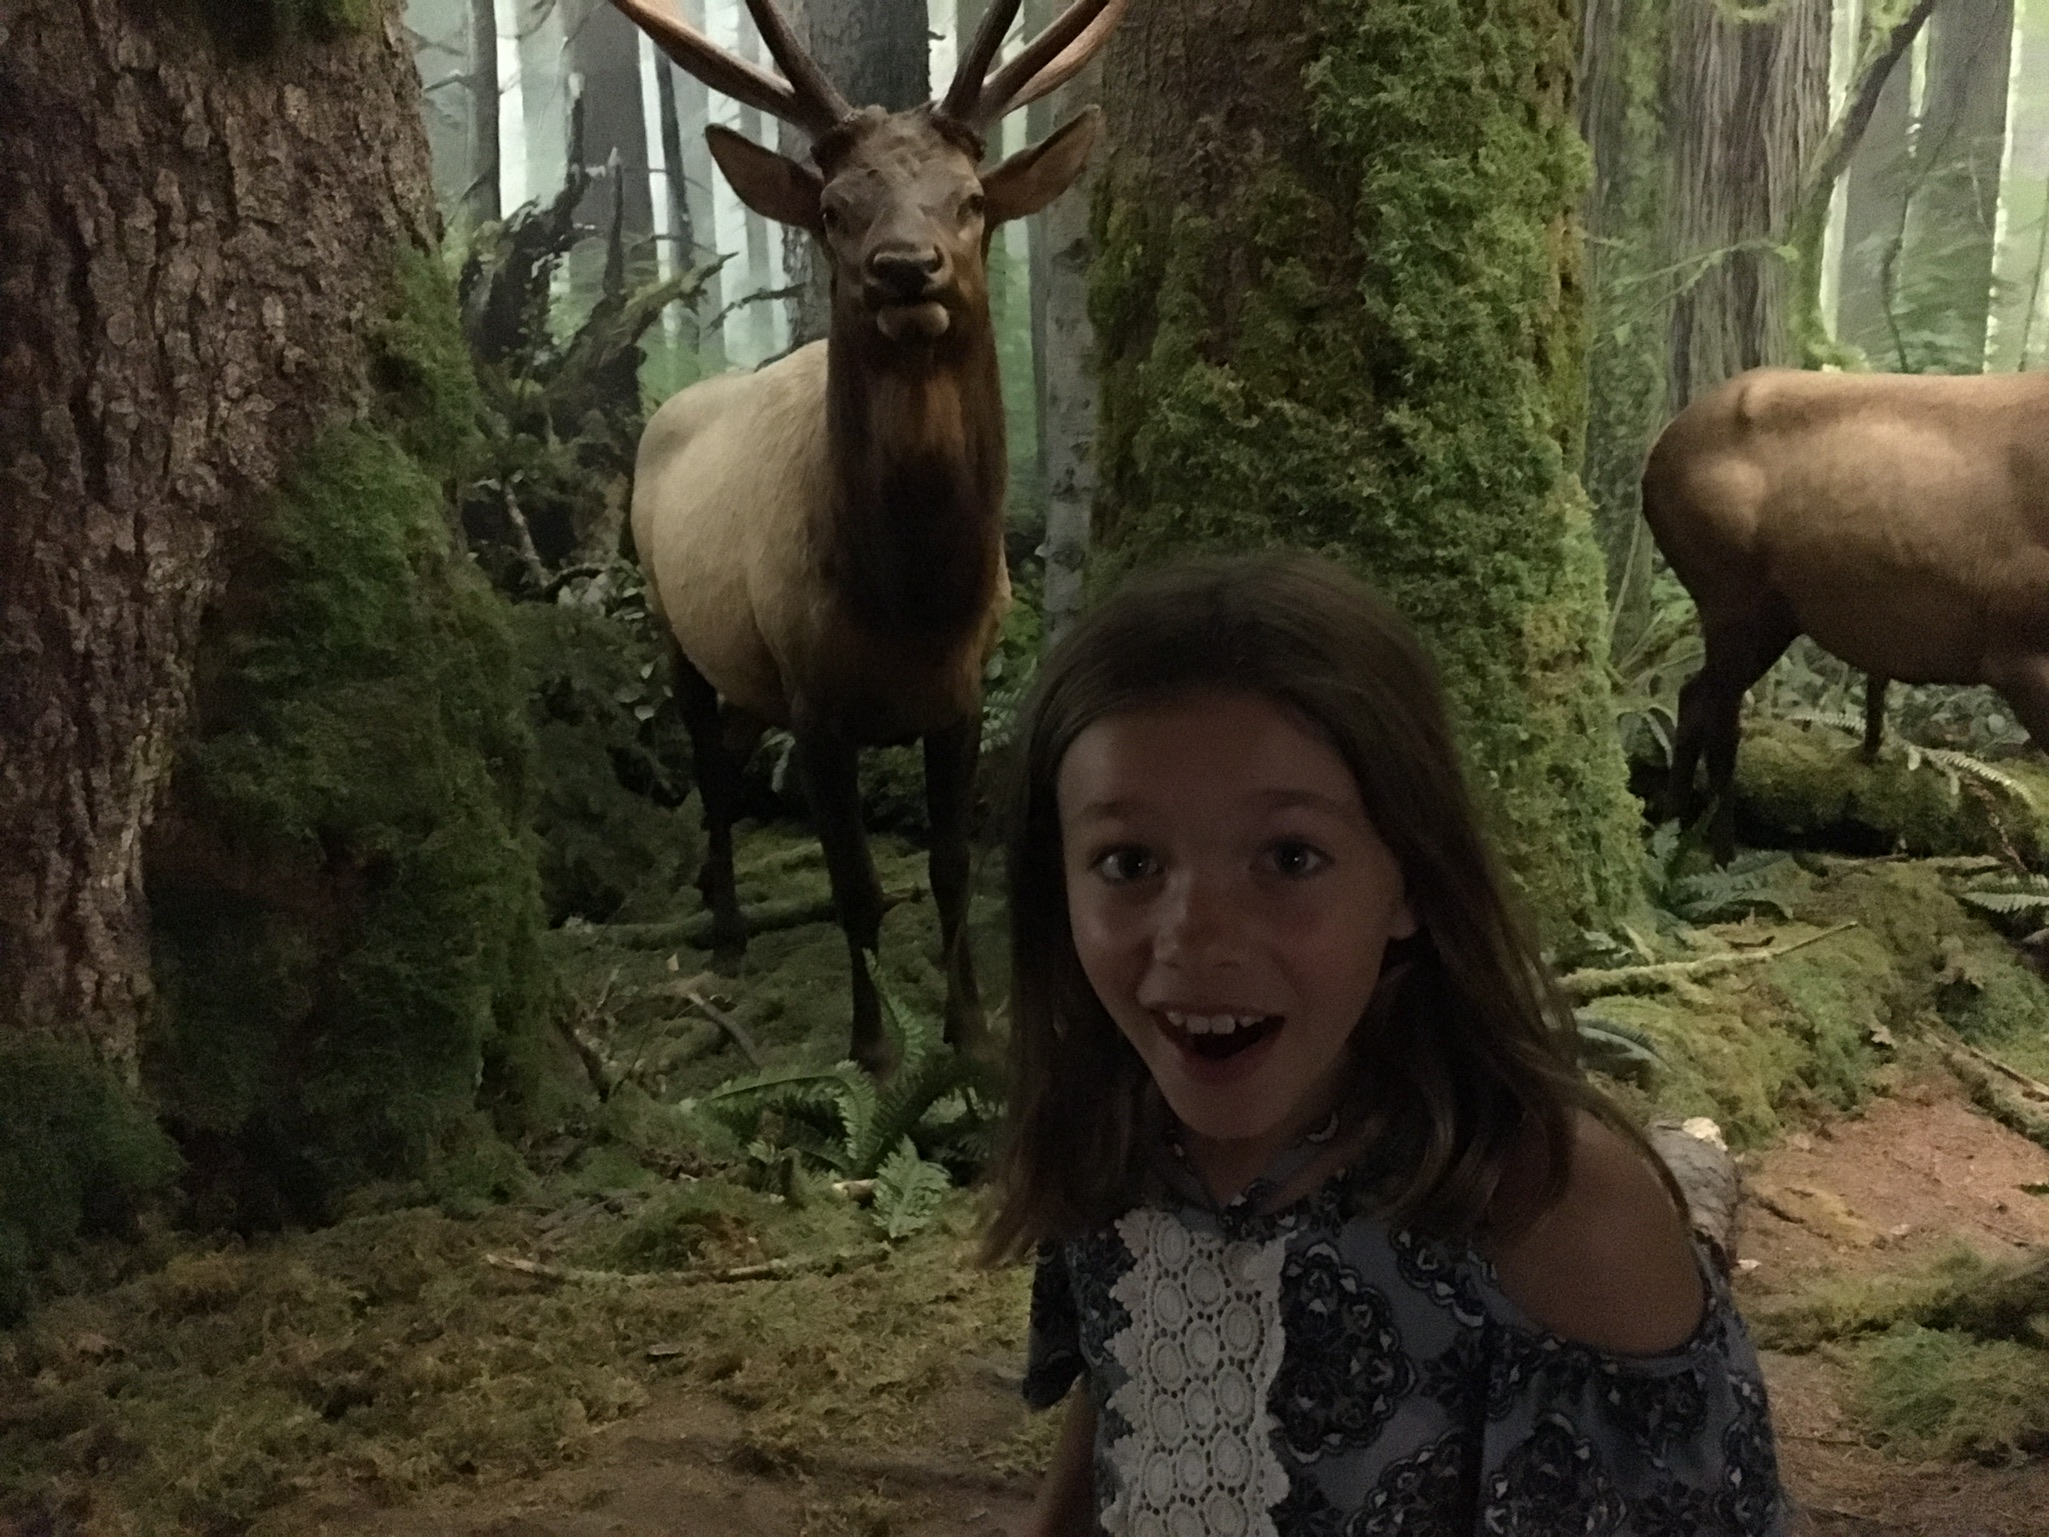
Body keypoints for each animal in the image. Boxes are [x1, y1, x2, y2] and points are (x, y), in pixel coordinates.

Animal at [609, 0, 1131, 1073]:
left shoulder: (961, 692)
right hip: (674, 623)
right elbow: (854, 881)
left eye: (970, 200)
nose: (904, 269)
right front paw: (874, 1044)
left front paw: (970, 1033)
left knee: (731, 751)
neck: (910, 602)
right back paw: (726, 930)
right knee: (708, 769)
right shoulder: (816, 703)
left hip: (747, 663)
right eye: (834, 209)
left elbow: (948, 863)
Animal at [1643, 365, 2049, 859]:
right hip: (1732, 594)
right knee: (1718, 713)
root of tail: (1660, 450)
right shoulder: (2019, 649)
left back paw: (1674, 836)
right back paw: (1713, 853)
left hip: (1771, 615)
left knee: (1696, 697)